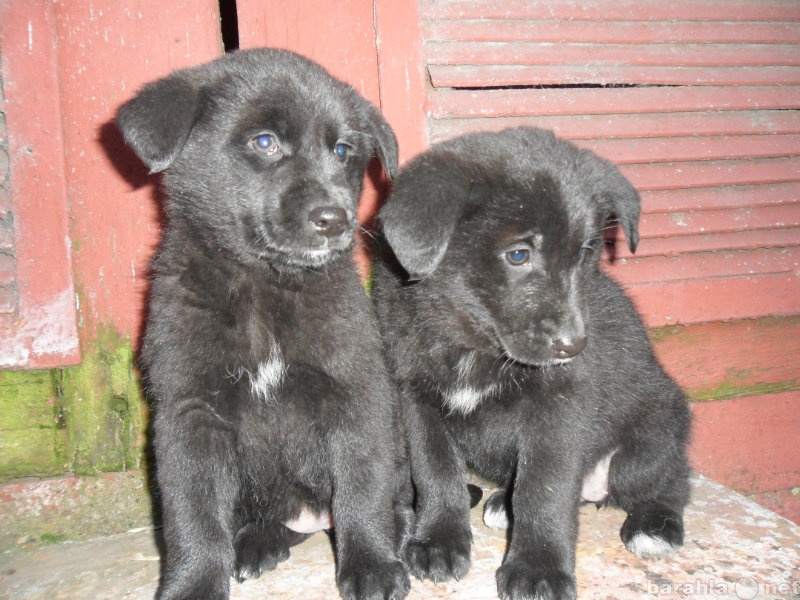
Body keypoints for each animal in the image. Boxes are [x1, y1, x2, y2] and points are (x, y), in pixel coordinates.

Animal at [119, 48, 412, 600]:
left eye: (343, 150)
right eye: (264, 141)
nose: (335, 219)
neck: (264, 282)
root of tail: (312, 517)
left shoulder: (356, 391)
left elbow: (363, 485)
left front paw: (372, 564)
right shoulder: (190, 413)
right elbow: (194, 516)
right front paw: (193, 584)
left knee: (392, 492)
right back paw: (258, 544)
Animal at [372, 126, 692, 600]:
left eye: (583, 253)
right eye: (519, 255)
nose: (575, 346)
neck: (471, 343)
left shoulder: (558, 407)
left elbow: (544, 487)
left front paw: (538, 567)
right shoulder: (416, 399)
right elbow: (435, 471)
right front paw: (439, 541)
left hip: (646, 446)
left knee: (673, 480)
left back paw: (655, 525)